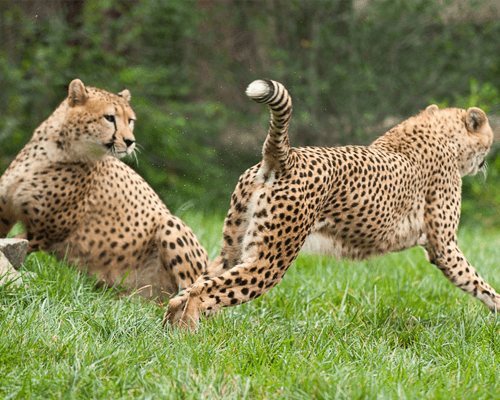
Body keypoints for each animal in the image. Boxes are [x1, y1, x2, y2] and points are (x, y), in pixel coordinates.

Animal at [0, 79, 207, 298]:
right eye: (109, 118)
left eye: (130, 120)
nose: (130, 141)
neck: (53, 151)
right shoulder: (6, 213)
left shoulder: (44, 233)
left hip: (171, 223)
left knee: (193, 290)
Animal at [167, 77, 496, 328]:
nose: (487, 159)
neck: (439, 132)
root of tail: (286, 156)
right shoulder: (443, 246)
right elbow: (478, 282)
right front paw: (497, 312)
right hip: (270, 260)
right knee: (202, 290)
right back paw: (190, 334)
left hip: (234, 249)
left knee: (186, 290)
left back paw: (172, 332)